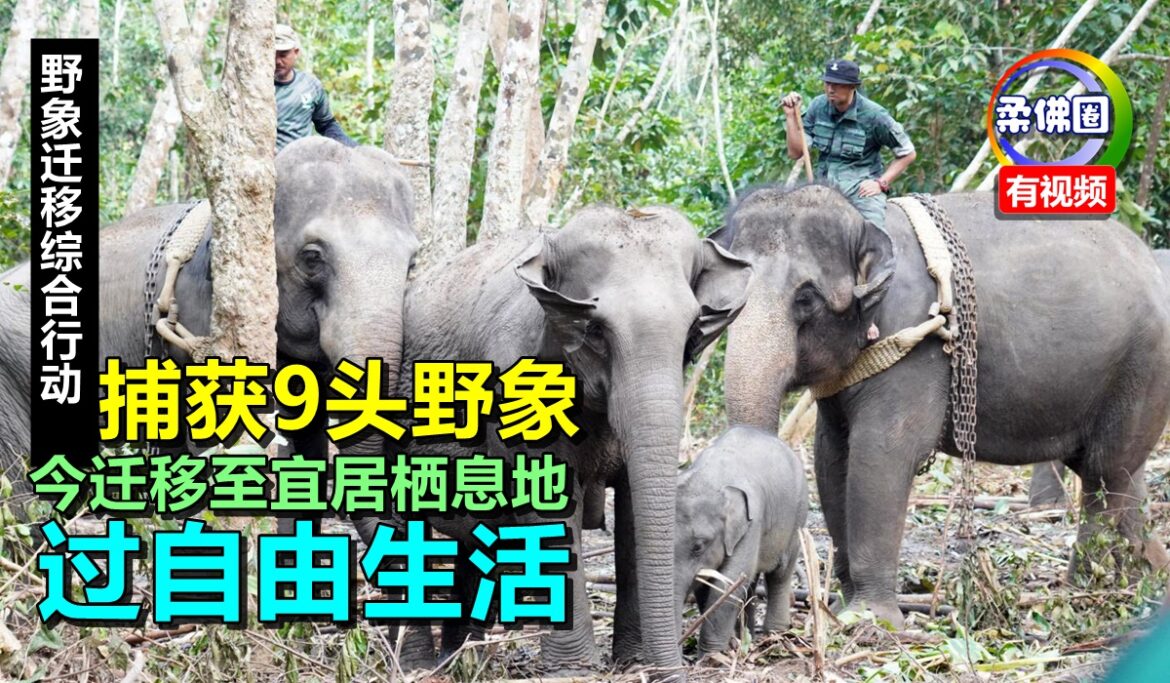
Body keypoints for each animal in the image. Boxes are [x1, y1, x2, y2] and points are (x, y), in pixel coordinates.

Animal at [355, 205, 752, 679]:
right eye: (594, 329)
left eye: (693, 328)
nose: (675, 671)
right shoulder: (513, 392)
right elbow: (551, 509)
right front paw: (574, 670)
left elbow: (634, 511)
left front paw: (632, 661)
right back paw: (417, 665)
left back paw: (460, 659)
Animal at [674, 425, 806, 654]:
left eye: (698, 546)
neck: (710, 478)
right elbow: (707, 583)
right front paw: (728, 647)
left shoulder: (753, 521)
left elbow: (728, 580)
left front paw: (712, 655)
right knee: (751, 582)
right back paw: (747, 636)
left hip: (797, 517)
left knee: (780, 575)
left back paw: (775, 635)